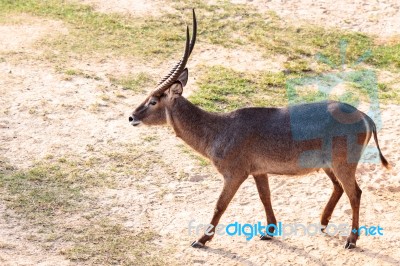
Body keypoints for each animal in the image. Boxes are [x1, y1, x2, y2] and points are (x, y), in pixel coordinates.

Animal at [129, 8, 390, 249]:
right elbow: (265, 197)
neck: (218, 129)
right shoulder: (259, 171)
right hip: (328, 165)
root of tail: (364, 115)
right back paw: (323, 223)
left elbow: (220, 204)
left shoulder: (235, 174)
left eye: (153, 101)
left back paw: (351, 240)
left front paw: (201, 239)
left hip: (342, 164)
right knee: (339, 188)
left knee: (355, 193)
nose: (131, 117)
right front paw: (269, 231)